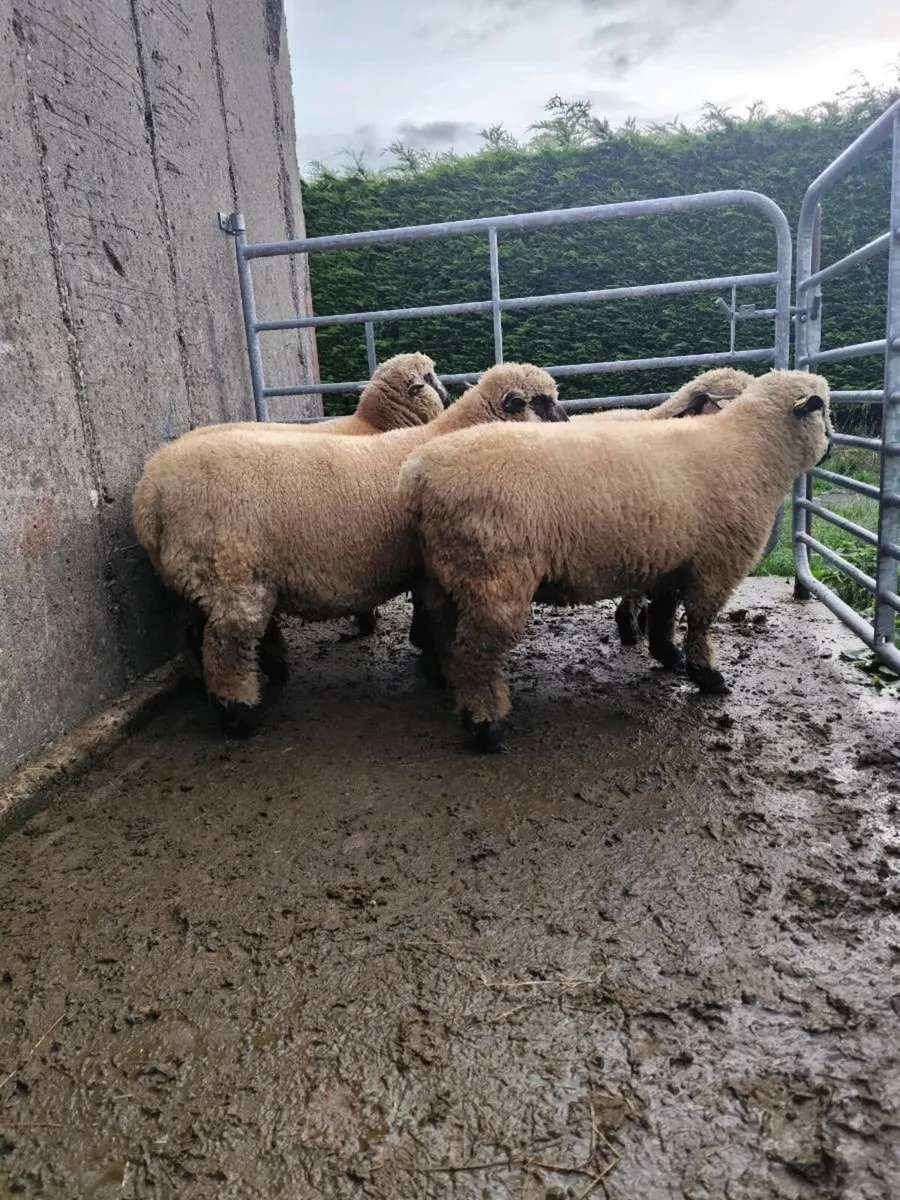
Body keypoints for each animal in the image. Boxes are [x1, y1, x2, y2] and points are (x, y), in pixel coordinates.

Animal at [132, 362, 568, 736]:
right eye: (543, 402)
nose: (567, 423)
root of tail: (148, 496)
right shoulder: (429, 565)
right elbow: (430, 617)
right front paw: (434, 665)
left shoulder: (422, 566)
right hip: (231, 576)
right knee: (227, 647)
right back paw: (240, 714)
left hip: (204, 578)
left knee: (198, 635)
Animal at [399, 369, 832, 751]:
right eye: (823, 409)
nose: (831, 445)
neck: (751, 451)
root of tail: (417, 476)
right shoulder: (716, 564)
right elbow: (701, 622)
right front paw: (707, 675)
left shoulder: (672, 559)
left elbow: (664, 613)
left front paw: (667, 655)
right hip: (493, 575)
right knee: (478, 653)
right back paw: (485, 726)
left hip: (446, 573)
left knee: (443, 632)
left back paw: (446, 682)